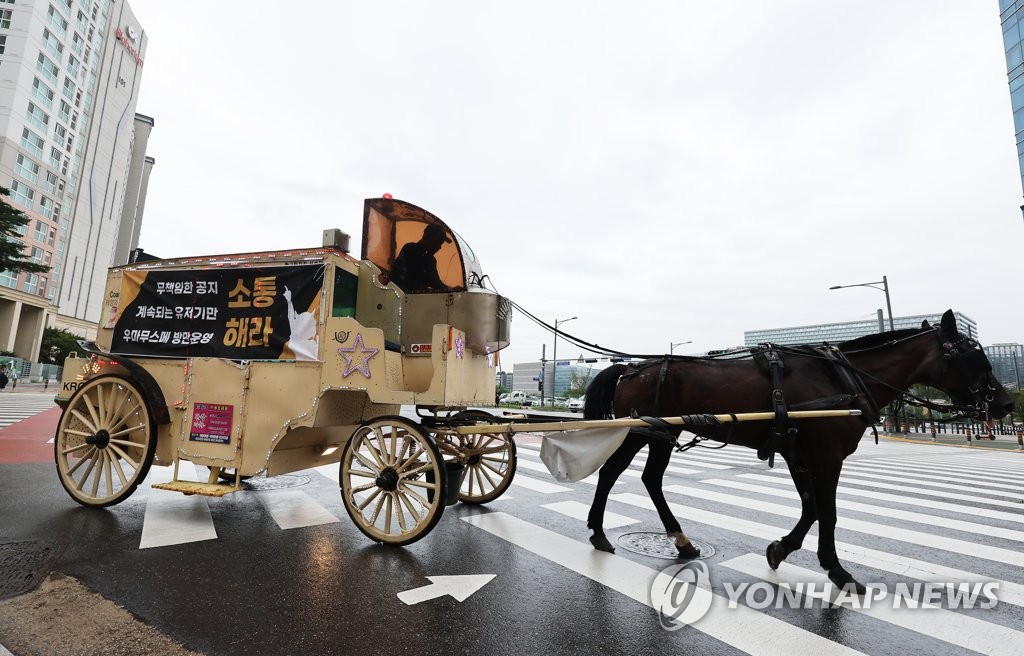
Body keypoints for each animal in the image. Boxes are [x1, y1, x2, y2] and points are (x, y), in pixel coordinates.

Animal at [585, 309, 1015, 589]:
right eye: (975, 354)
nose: (1006, 403)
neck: (842, 379)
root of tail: (630, 368)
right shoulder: (827, 456)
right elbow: (828, 512)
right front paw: (838, 570)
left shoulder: (801, 454)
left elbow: (811, 508)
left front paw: (782, 548)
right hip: (636, 432)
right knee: (611, 473)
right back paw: (600, 533)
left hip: (660, 434)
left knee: (650, 479)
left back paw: (681, 542)